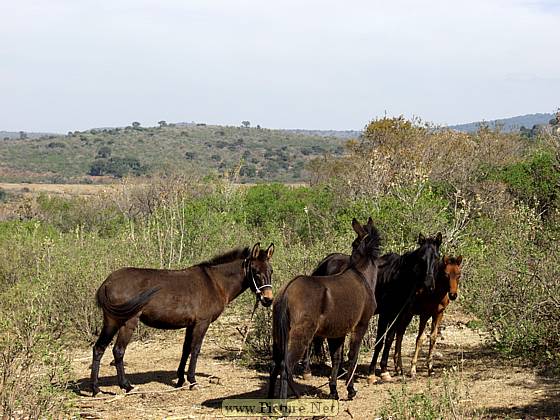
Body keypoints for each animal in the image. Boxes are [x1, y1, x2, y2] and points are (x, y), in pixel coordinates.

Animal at [89, 243, 274, 398]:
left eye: (271, 271)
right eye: (255, 271)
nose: (268, 299)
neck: (215, 282)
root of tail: (108, 282)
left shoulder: (190, 325)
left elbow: (186, 350)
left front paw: (180, 380)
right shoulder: (202, 323)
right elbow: (196, 349)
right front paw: (192, 381)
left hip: (111, 321)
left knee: (99, 348)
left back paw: (96, 389)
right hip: (127, 322)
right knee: (118, 351)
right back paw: (126, 386)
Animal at [266, 217, 380, 400]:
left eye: (354, 244)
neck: (361, 275)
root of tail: (287, 291)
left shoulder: (337, 332)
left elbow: (336, 359)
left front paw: (334, 390)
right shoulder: (361, 325)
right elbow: (352, 356)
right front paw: (350, 390)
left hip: (278, 335)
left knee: (274, 366)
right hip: (300, 336)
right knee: (285, 367)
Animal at [306, 233, 442, 384]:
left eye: (437, 257)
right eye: (421, 258)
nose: (428, 284)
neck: (396, 278)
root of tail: (325, 262)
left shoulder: (396, 315)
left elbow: (389, 340)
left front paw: (384, 371)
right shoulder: (384, 314)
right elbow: (379, 342)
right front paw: (371, 373)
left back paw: (339, 371)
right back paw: (307, 372)